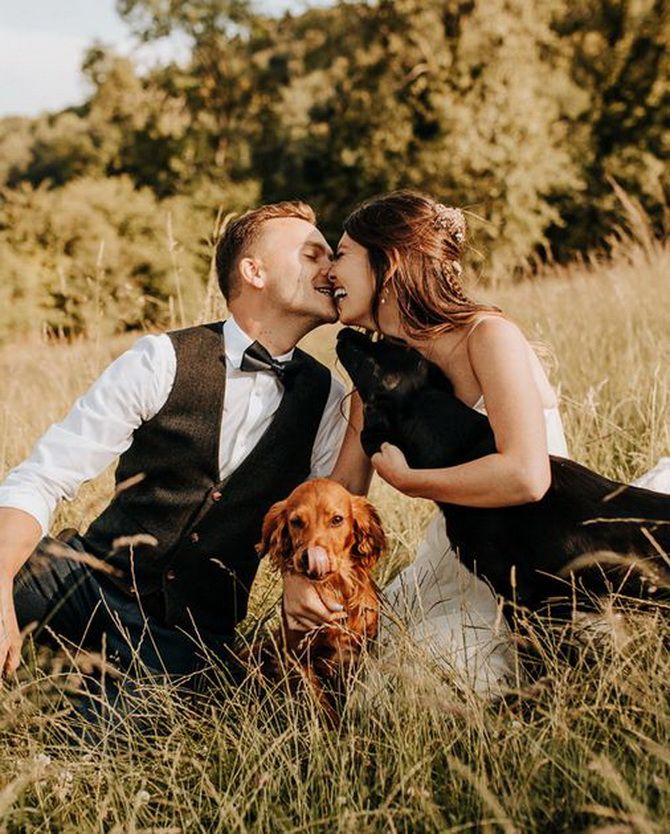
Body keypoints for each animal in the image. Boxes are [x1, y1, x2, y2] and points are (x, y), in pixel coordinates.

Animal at [253, 478, 386, 712]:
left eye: (337, 519)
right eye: (296, 521)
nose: (309, 558)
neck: (332, 589)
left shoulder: (361, 651)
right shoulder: (297, 657)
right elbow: (321, 705)